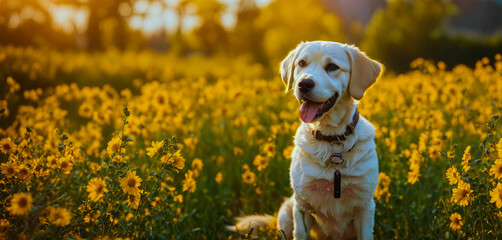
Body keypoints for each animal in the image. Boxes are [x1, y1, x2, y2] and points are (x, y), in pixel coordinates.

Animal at [229, 40, 382, 239]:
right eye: (302, 63)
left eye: (332, 67)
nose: (304, 84)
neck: (331, 138)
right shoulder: (302, 204)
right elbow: (300, 233)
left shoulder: (365, 206)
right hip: (286, 211)